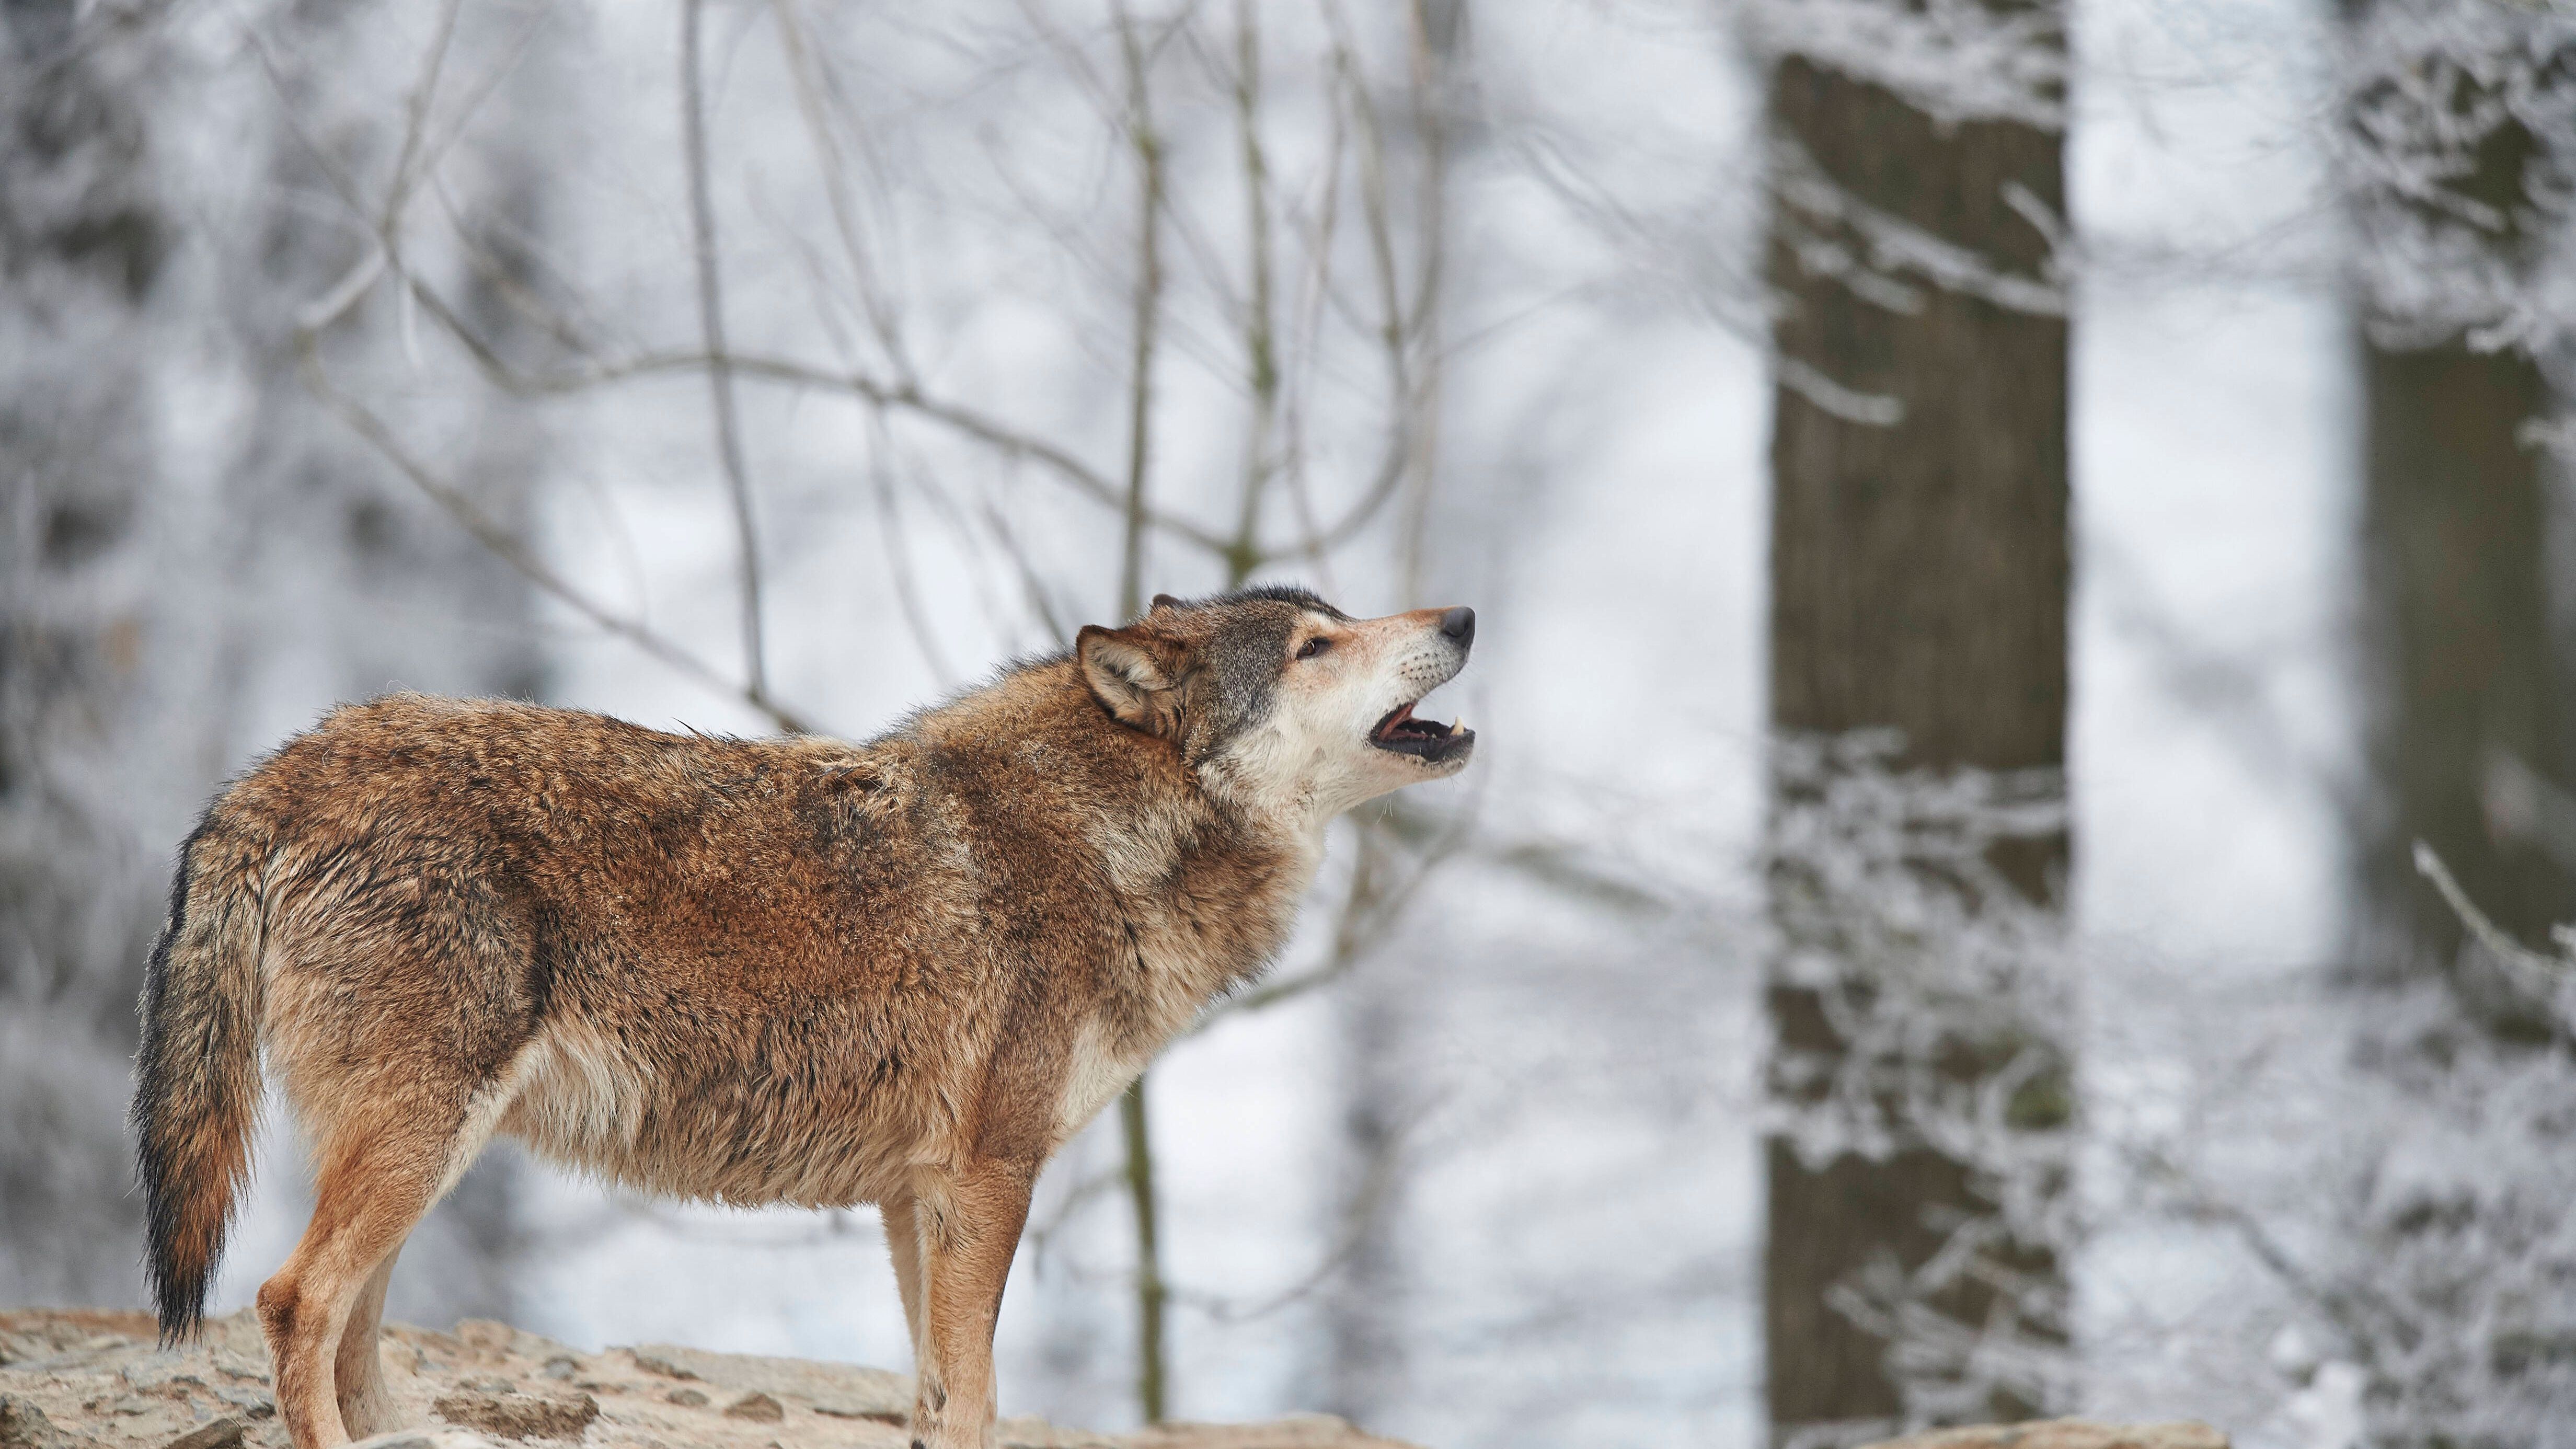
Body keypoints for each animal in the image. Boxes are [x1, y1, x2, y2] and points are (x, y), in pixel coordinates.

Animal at [131, 582, 1484, 1444]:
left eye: (1343, 620)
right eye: (1315, 645)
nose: (1464, 618)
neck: (1113, 839)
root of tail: (285, 767)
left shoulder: (915, 1194)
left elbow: (935, 1396)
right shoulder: (991, 1173)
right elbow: (974, 1394)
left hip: (424, 1152)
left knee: (353, 1324)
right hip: (421, 1135)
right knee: (294, 1303)